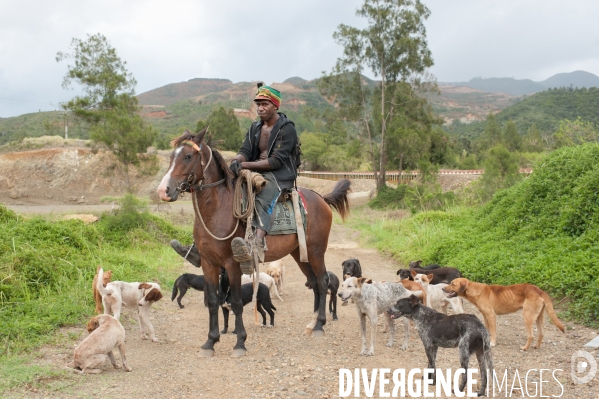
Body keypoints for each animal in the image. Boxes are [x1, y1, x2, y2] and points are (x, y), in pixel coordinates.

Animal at [157, 129, 352, 360]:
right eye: (171, 156)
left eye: (188, 156)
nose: (163, 190)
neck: (218, 209)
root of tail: (321, 198)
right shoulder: (208, 263)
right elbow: (213, 301)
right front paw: (210, 342)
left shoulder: (232, 264)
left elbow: (237, 303)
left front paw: (240, 342)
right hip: (299, 253)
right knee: (314, 283)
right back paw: (311, 324)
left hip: (315, 251)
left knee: (322, 282)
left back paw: (320, 325)